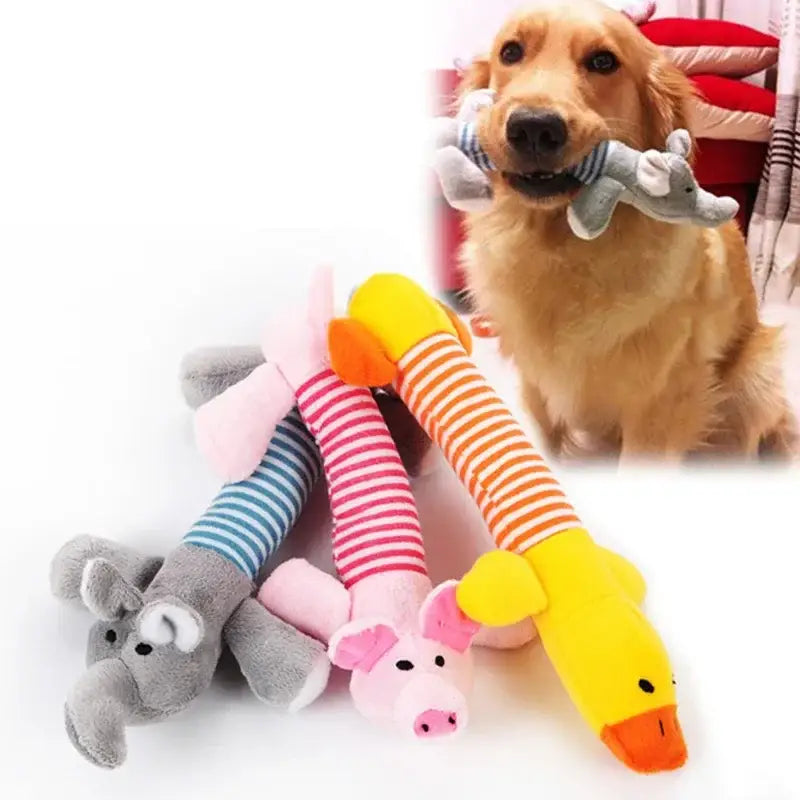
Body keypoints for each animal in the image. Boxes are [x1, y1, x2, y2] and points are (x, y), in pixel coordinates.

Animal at [454, 0, 796, 462]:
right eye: (511, 52)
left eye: (603, 61)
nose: (533, 127)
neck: (561, 246)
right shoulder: (536, 387)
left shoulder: (658, 404)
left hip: (751, 383)